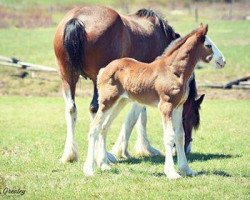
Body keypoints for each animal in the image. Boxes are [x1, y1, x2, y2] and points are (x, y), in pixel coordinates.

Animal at [83, 24, 226, 179]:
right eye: (208, 45)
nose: (223, 61)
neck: (173, 71)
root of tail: (104, 69)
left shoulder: (178, 107)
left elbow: (179, 136)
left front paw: (186, 169)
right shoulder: (166, 106)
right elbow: (169, 137)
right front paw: (171, 172)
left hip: (120, 102)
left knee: (104, 128)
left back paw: (104, 165)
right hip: (106, 102)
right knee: (94, 128)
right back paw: (89, 169)